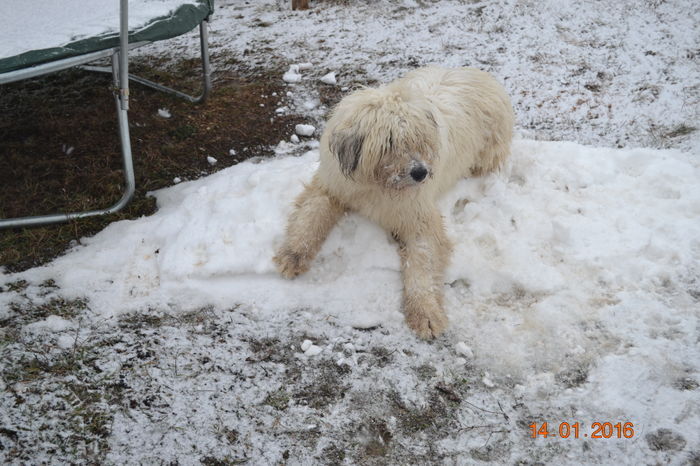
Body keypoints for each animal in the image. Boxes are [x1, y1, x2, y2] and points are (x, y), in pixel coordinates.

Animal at [274, 65, 516, 338]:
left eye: (419, 138)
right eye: (389, 142)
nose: (420, 173)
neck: (375, 185)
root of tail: (475, 72)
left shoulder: (418, 216)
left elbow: (422, 263)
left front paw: (425, 313)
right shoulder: (333, 187)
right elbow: (311, 215)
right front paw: (293, 256)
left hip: (488, 150)